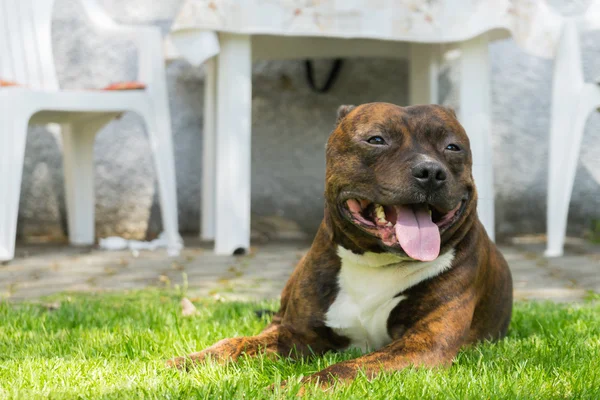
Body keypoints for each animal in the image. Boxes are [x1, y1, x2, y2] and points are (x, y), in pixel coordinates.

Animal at [166, 102, 512, 388]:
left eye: (452, 147)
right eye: (376, 140)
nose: (431, 171)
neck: (376, 263)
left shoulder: (424, 345)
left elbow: (347, 368)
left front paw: (296, 387)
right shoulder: (297, 334)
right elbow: (235, 343)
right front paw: (190, 361)